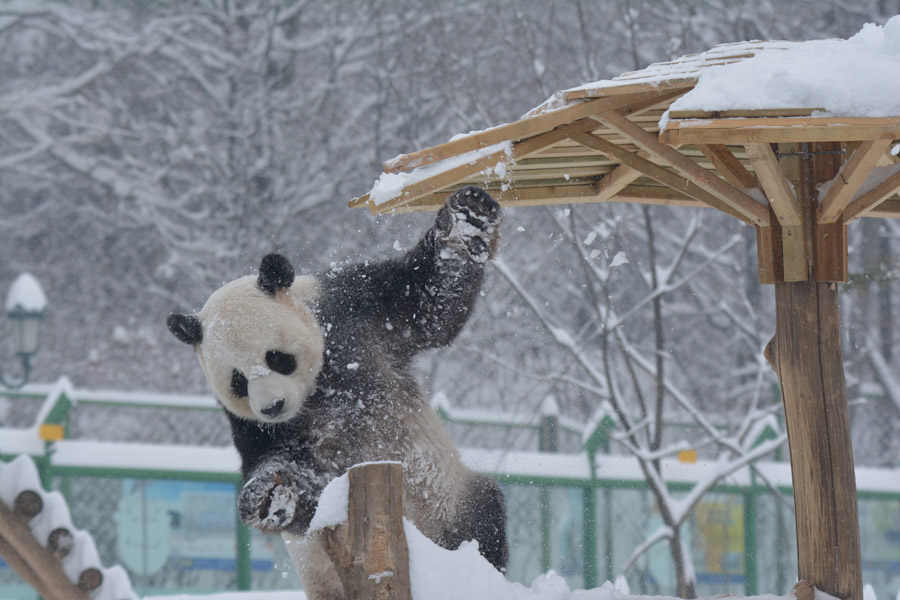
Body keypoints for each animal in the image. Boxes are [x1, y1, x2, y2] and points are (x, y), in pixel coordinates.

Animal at [167, 185, 506, 596]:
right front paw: (269, 496)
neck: (315, 389)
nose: (273, 406)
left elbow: (427, 303)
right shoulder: (249, 424)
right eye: (238, 381)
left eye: (276, 358)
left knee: (483, 521)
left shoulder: (355, 309)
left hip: (451, 499)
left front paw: (466, 218)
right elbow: (281, 466)